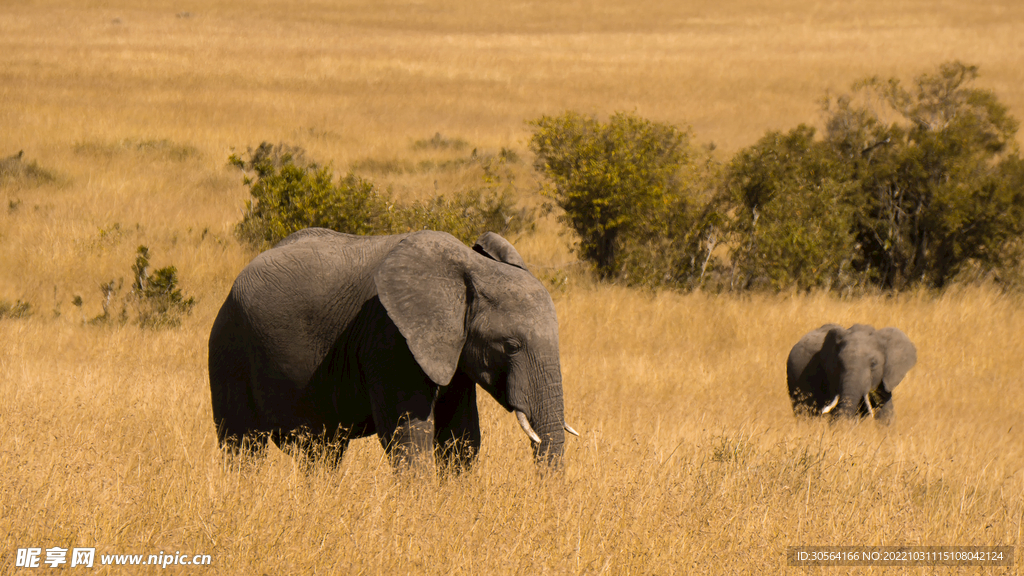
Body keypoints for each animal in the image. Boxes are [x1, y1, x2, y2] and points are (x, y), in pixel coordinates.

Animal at [207, 226, 577, 469]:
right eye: (511, 346)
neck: (470, 269)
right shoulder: (390, 340)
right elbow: (409, 436)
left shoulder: (452, 348)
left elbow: (461, 437)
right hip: (229, 346)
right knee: (243, 445)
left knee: (323, 451)